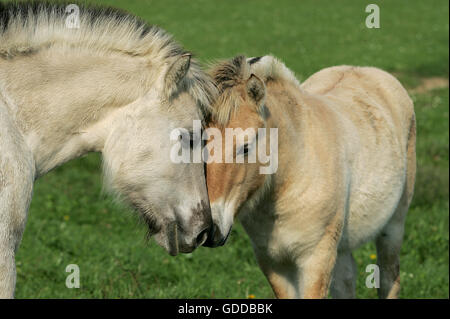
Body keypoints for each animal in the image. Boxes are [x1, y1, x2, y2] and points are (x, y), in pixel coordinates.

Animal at [206, 55, 416, 300]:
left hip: (393, 227)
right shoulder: (273, 262)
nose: (209, 230)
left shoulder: (316, 258)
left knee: (389, 278)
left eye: (246, 147)